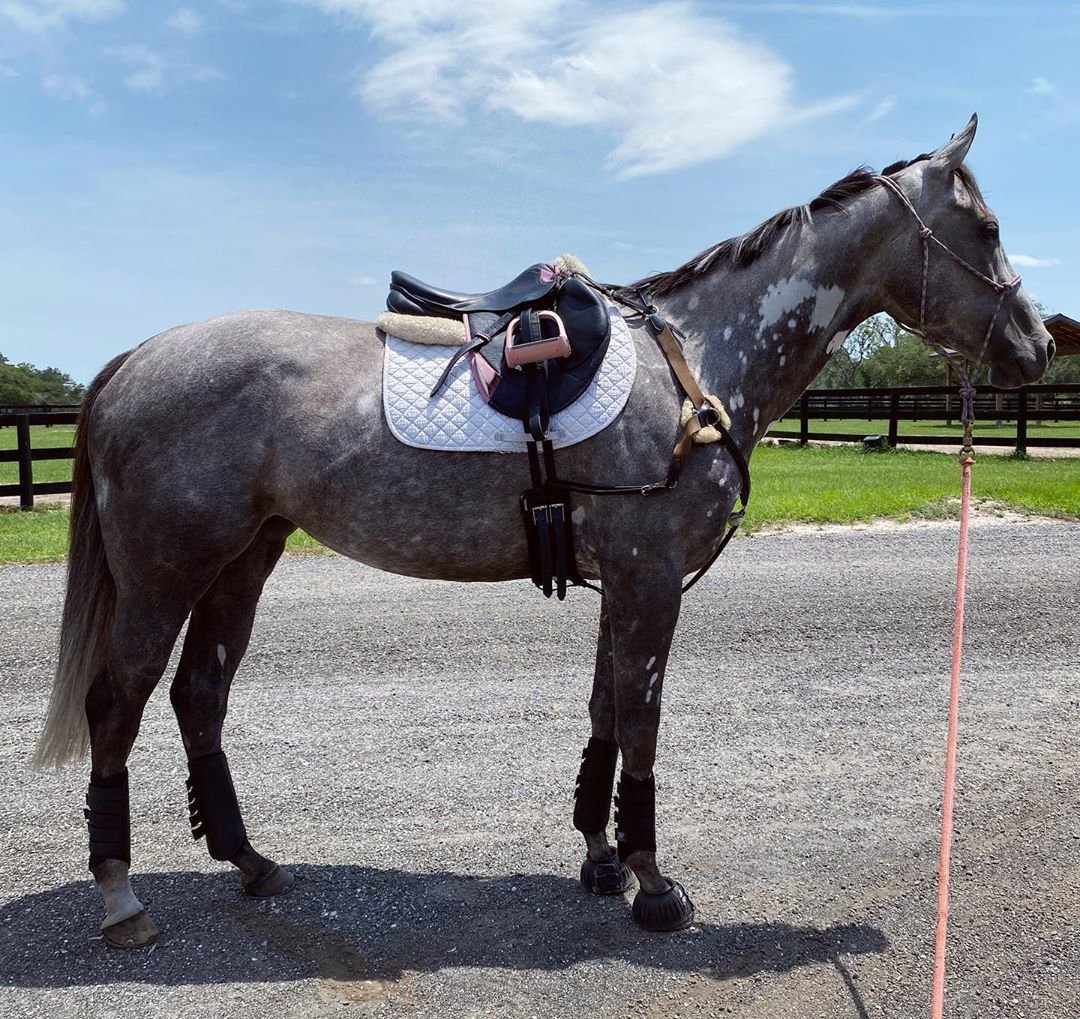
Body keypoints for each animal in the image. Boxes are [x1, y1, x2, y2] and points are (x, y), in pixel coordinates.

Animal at [35, 114, 1053, 948]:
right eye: (989, 228)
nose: (1039, 345)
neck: (697, 364)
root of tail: (134, 359)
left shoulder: (626, 581)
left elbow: (604, 710)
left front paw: (601, 858)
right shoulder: (649, 579)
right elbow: (641, 721)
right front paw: (653, 885)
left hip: (243, 562)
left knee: (199, 696)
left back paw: (251, 863)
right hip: (166, 575)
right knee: (117, 705)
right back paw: (123, 899)